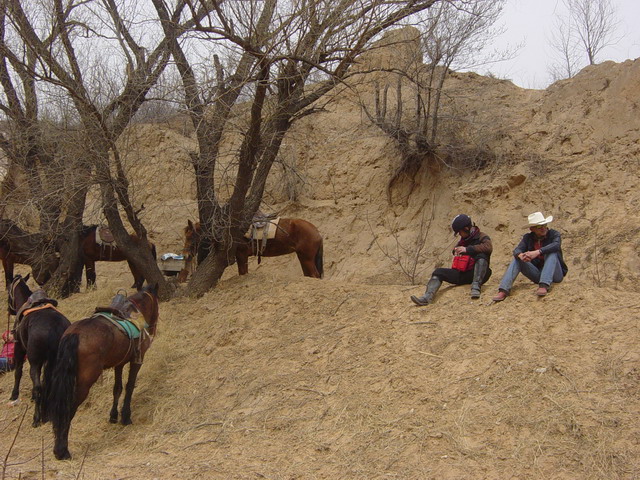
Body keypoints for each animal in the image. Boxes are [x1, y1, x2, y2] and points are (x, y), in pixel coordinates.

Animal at [7, 274, 70, 428]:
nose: (9, 310)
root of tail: (54, 327)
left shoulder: (19, 349)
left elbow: (18, 372)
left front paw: (14, 394)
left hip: (35, 363)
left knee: (38, 386)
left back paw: (36, 418)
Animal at [47, 284, 160, 460]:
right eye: (157, 304)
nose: (153, 329)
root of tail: (74, 334)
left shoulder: (119, 364)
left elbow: (117, 388)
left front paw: (113, 416)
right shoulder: (137, 360)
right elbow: (129, 386)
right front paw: (125, 416)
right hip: (84, 384)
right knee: (68, 409)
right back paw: (62, 450)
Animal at [178, 218, 322, 282]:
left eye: (190, 236)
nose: (185, 255)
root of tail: (316, 232)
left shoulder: (242, 256)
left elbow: (243, 272)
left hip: (307, 259)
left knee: (315, 275)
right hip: (303, 258)